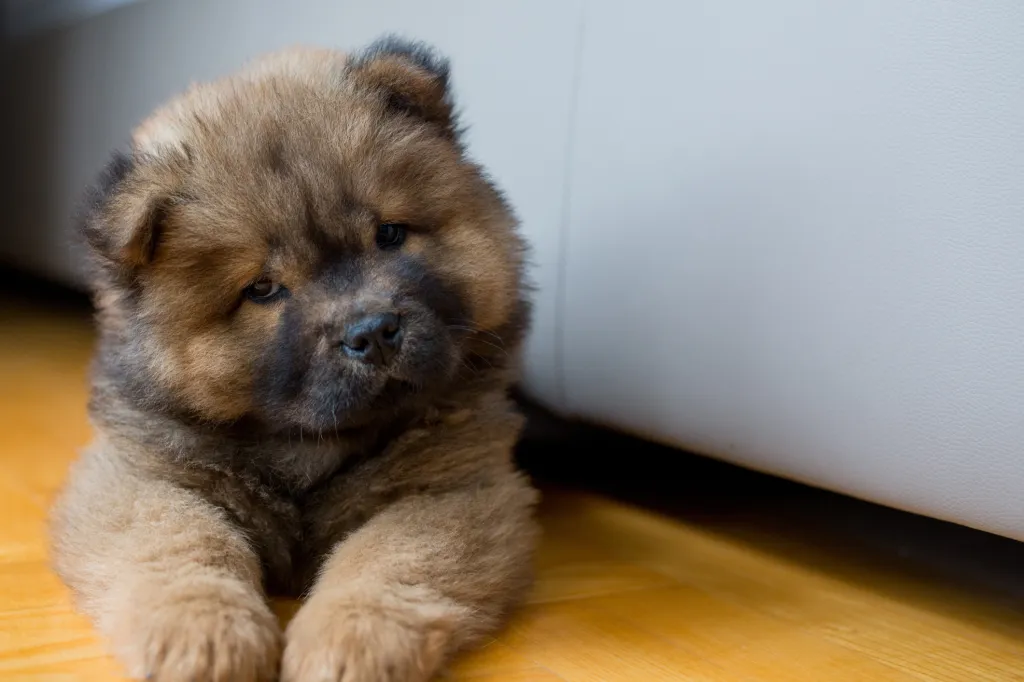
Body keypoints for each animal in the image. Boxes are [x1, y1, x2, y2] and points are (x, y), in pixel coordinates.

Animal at [49, 38, 536, 679]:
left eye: (389, 235)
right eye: (262, 289)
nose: (373, 332)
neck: (304, 447)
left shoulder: (452, 488)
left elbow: (389, 558)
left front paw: (350, 642)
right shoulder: (138, 475)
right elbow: (180, 544)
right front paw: (205, 637)